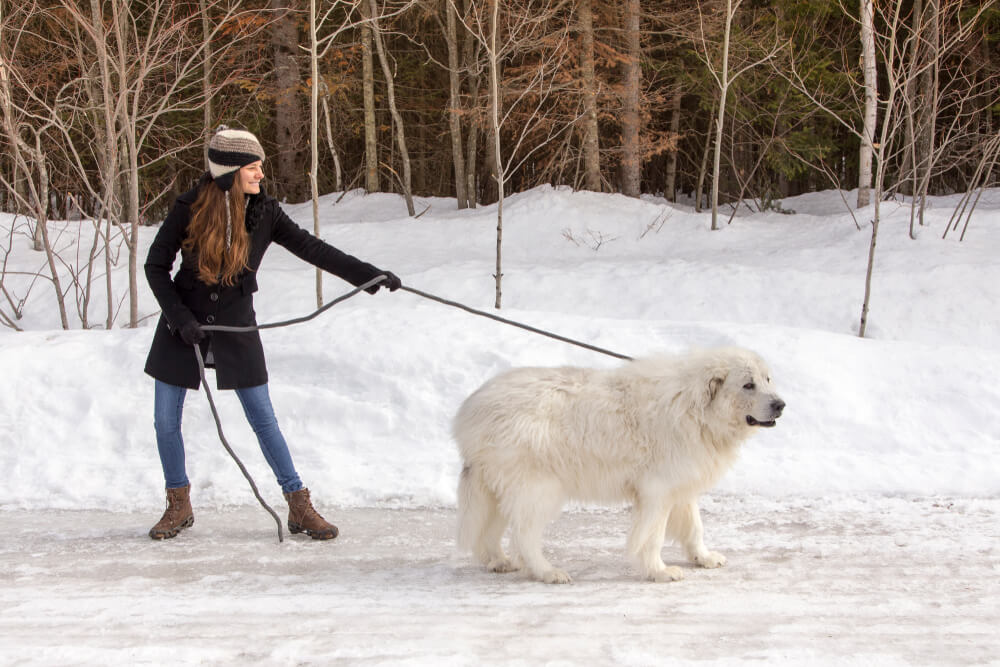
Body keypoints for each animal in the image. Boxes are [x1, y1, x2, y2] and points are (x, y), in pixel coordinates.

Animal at [454, 348, 780, 580]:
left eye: (767, 379)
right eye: (747, 384)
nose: (781, 405)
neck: (695, 409)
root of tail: (472, 411)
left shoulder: (680, 486)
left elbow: (694, 528)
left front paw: (704, 557)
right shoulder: (657, 492)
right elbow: (653, 537)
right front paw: (659, 571)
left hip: (497, 489)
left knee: (489, 533)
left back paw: (499, 561)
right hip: (539, 489)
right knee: (524, 536)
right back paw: (547, 572)